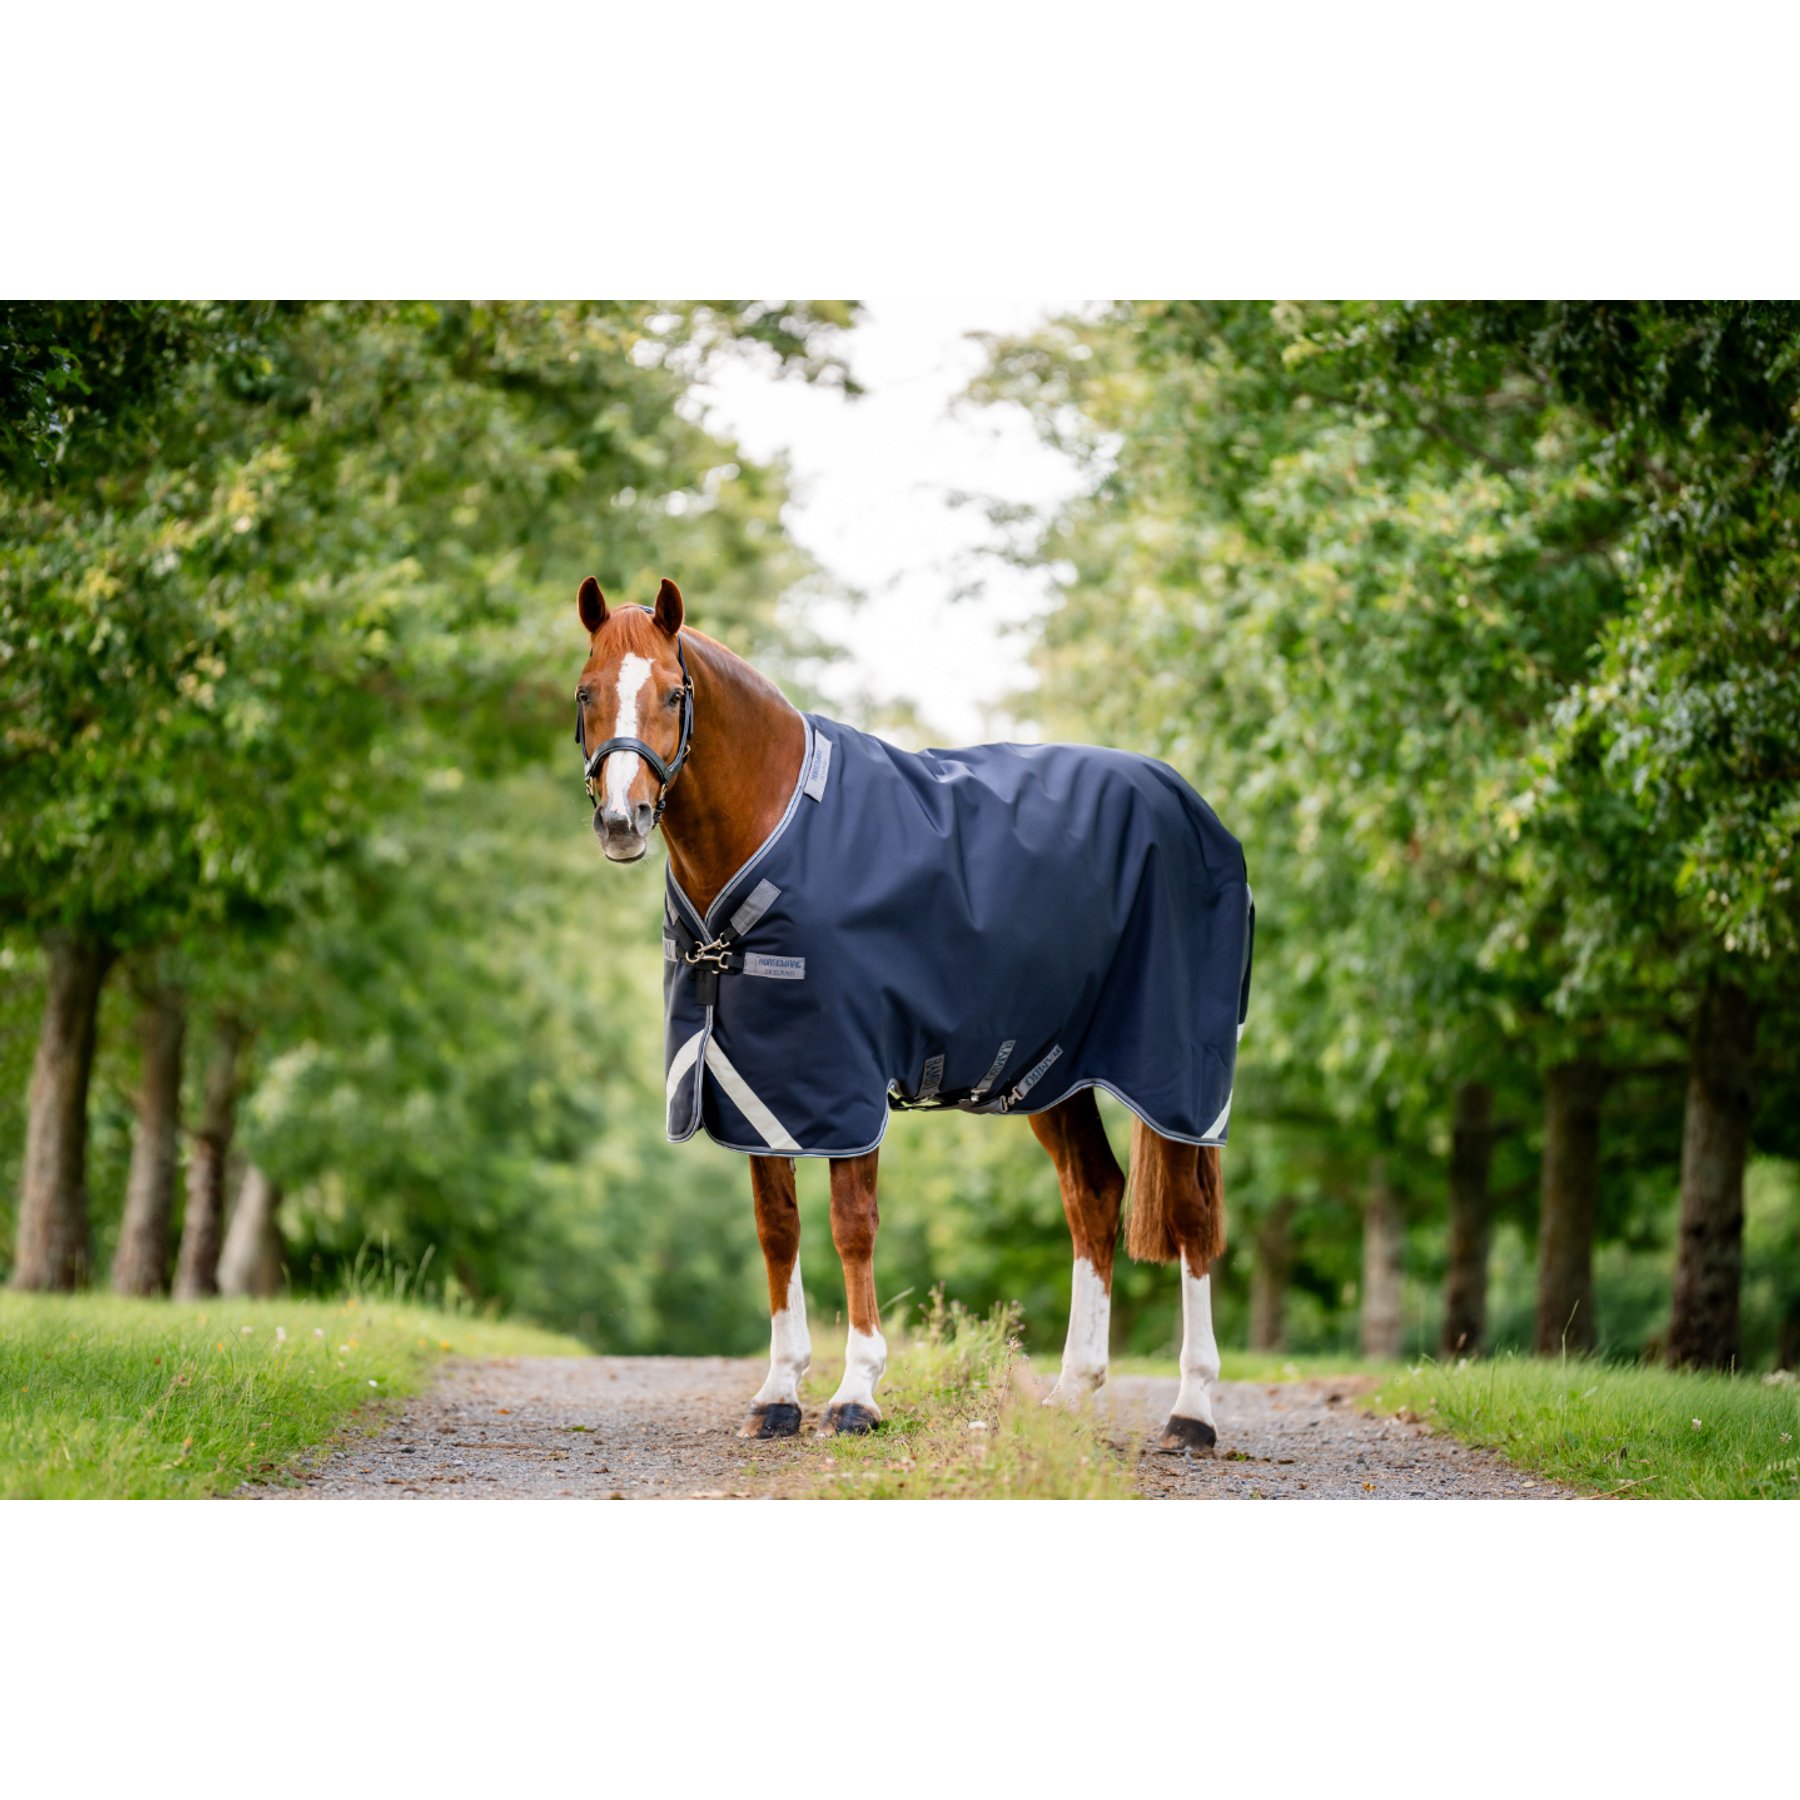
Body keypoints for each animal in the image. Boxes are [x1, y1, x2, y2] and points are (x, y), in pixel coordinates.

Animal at [572, 575, 1251, 1451]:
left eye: (673, 692)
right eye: (586, 692)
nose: (621, 822)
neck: (774, 825)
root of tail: (1192, 806)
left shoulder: (844, 1078)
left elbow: (851, 1224)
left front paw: (857, 1392)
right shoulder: (757, 1082)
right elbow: (777, 1228)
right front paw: (778, 1393)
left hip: (1178, 1079)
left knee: (1194, 1218)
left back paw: (1192, 1412)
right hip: (1055, 1074)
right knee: (1093, 1196)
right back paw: (1071, 1393)